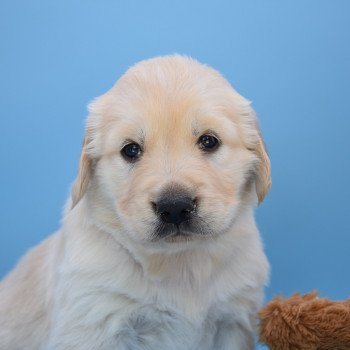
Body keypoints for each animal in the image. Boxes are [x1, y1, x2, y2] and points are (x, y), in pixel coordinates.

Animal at [0, 56, 270, 348]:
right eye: (130, 150)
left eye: (209, 141)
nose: (174, 207)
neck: (179, 263)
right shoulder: (95, 322)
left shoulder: (233, 321)